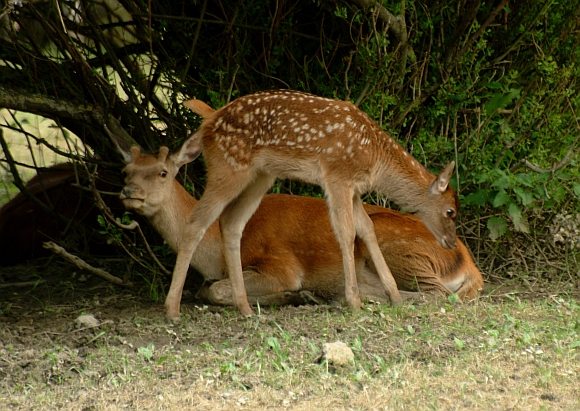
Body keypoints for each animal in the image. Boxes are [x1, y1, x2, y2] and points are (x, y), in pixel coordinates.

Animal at [116, 143, 480, 308]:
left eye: (163, 172)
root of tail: (471, 265)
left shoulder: (279, 264)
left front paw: (288, 295)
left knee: (438, 294)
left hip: (404, 250)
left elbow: (215, 289)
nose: (129, 192)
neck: (215, 254)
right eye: (126, 171)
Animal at [163, 90, 458, 318]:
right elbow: (346, 233)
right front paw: (354, 301)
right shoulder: (337, 176)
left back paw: (245, 308)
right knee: (197, 221)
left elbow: (367, 229)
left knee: (231, 222)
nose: (453, 243)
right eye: (451, 211)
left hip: (261, 175)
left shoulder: (353, 189)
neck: (374, 157)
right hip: (228, 167)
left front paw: (394, 296)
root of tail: (210, 121)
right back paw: (172, 310)